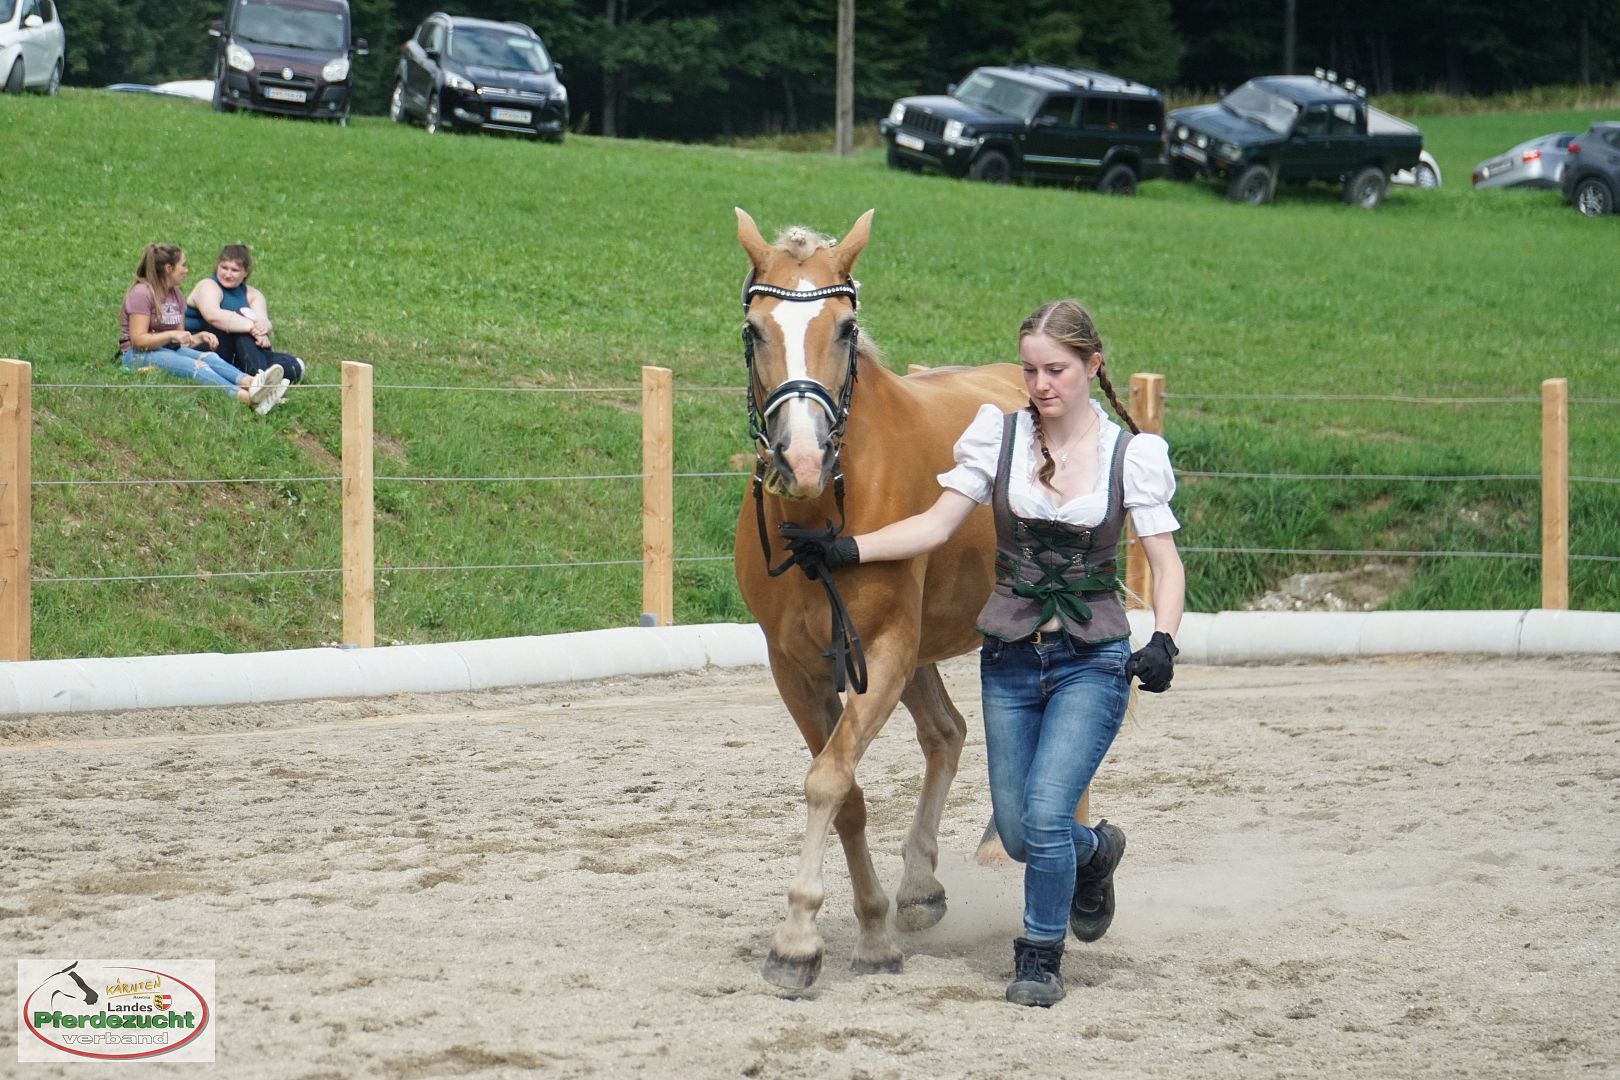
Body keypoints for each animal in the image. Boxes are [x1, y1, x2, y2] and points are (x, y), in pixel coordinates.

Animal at [732, 208, 1029, 989]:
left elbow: (828, 779)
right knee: (947, 733)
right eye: (754, 330)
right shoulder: (798, 669)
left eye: (844, 327)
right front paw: (869, 930)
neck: (826, 513)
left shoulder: (888, 652)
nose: (801, 458)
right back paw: (920, 886)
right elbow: (847, 797)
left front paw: (797, 937)